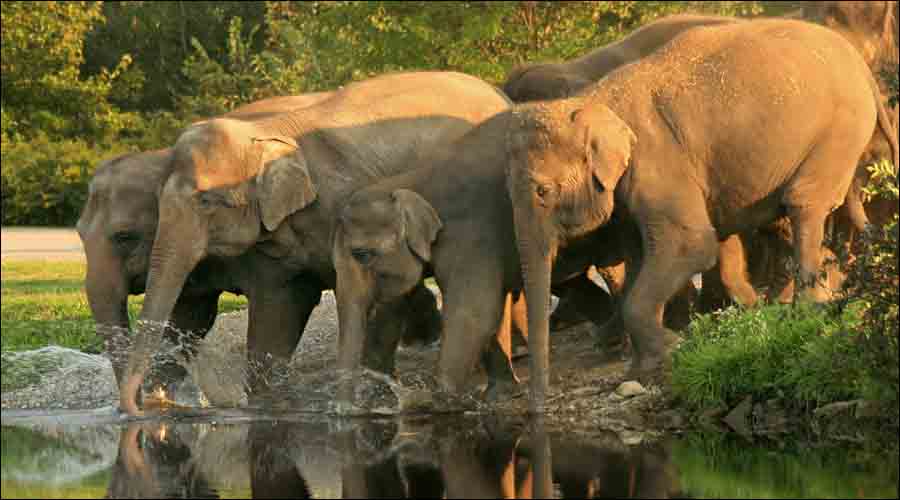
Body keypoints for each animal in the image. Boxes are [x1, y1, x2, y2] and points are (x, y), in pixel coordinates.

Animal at [118, 70, 512, 414]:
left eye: (205, 201)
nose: (140, 407)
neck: (269, 133)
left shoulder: (348, 203)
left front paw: (371, 402)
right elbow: (280, 309)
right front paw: (267, 403)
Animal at [506, 19, 892, 410]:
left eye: (542, 191)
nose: (535, 407)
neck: (591, 100)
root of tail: (861, 66)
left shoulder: (657, 163)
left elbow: (691, 245)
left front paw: (670, 351)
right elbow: (638, 256)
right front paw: (643, 366)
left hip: (839, 131)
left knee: (803, 204)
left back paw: (805, 311)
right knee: (787, 216)